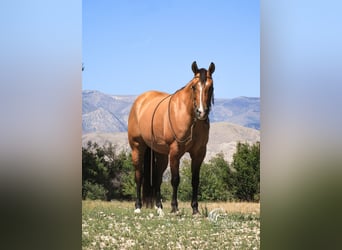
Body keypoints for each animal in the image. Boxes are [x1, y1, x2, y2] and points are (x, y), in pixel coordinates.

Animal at [127, 61, 215, 215]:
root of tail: (139, 102)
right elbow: (175, 179)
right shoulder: (175, 152)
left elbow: (195, 180)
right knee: (139, 176)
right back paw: (138, 206)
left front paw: (195, 209)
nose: (201, 112)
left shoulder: (199, 153)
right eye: (194, 86)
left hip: (161, 154)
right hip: (137, 148)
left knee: (157, 178)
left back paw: (159, 207)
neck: (189, 117)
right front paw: (174, 207)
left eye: (210, 87)